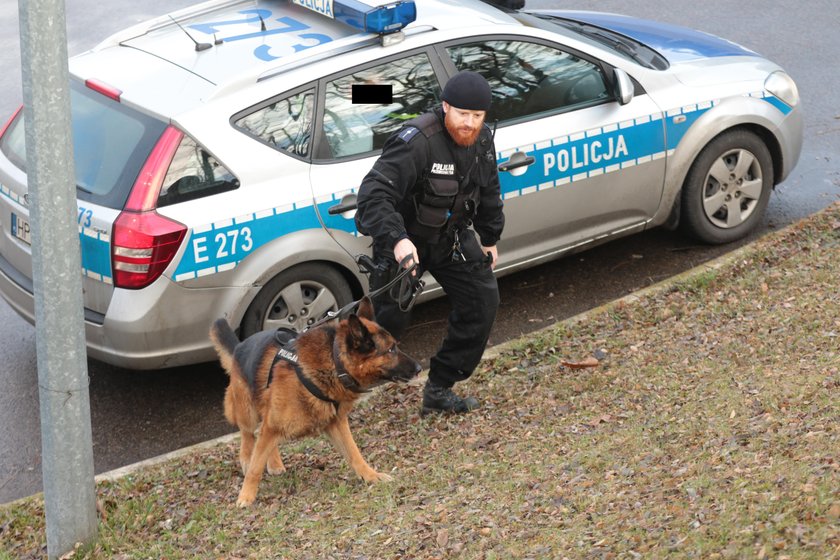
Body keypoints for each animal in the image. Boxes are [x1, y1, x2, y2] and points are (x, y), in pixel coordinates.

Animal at [210, 298, 420, 508]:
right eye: (391, 349)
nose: (419, 368)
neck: (334, 363)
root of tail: (240, 346)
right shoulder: (273, 424)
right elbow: (255, 467)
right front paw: (246, 496)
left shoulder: (337, 423)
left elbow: (354, 453)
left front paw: (371, 476)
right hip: (248, 411)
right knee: (247, 434)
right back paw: (247, 458)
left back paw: (275, 463)